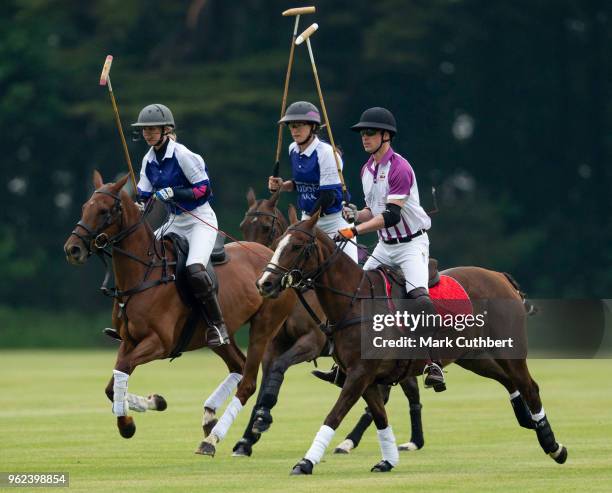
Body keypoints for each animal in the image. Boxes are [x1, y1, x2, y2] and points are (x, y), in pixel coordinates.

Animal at [63, 171, 296, 456]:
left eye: (105, 211)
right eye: (85, 207)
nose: (72, 249)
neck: (144, 273)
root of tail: (275, 259)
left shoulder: (160, 342)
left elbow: (123, 368)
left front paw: (127, 423)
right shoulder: (129, 340)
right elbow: (113, 383)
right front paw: (152, 402)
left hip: (264, 327)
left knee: (249, 382)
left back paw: (211, 440)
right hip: (219, 335)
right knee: (237, 365)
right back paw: (209, 419)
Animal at [232, 186, 428, 456]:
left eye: (266, 228)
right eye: (243, 226)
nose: (264, 283)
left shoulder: (312, 342)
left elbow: (280, 367)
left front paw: (261, 420)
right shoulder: (274, 345)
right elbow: (268, 376)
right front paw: (249, 435)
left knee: (398, 391)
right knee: (403, 389)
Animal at [256, 211, 568, 472]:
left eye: (297, 246)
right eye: (278, 243)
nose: (264, 284)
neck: (354, 302)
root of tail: (500, 277)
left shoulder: (359, 374)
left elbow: (334, 415)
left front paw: (305, 462)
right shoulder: (366, 377)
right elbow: (380, 416)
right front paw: (387, 460)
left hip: (509, 349)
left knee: (529, 386)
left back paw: (553, 446)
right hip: (472, 356)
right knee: (509, 381)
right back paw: (527, 420)